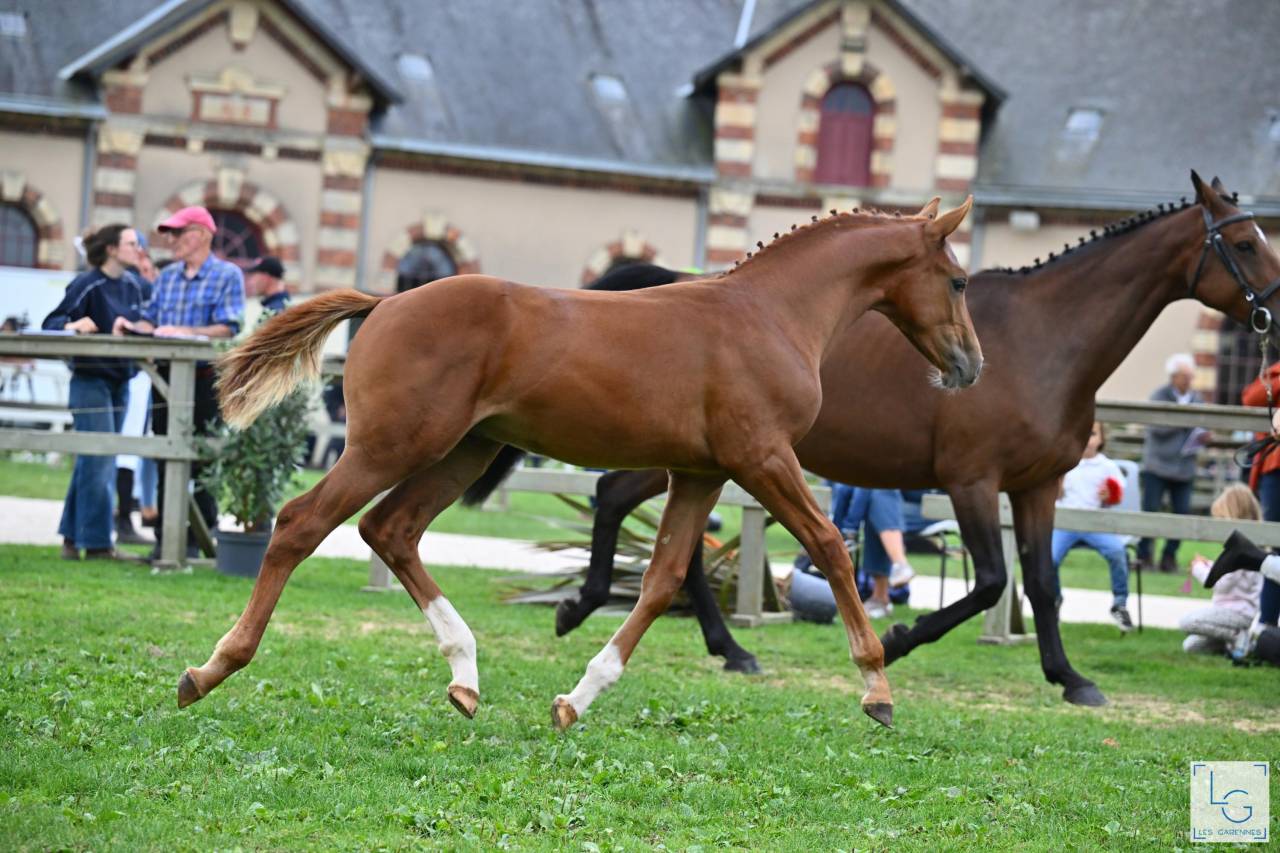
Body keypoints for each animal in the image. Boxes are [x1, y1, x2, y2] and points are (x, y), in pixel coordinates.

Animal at [175, 197, 982, 730]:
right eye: (959, 280)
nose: (970, 365)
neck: (770, 314)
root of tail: (383, 303)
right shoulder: (762, 457)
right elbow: (829, 547)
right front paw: (877, 689)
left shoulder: (702, 472)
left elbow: (661, 581)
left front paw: (574, 698)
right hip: (393, 445)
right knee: (299, 522)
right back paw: (208, 670)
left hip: (465, 449)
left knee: (391, 530)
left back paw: (466, 676)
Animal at [464, 171, 1280, 706]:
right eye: (1245, 240)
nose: (1274, 310)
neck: (1047, 339)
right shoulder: (972, 480)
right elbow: (990, 580)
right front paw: (903, 640)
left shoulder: (1037, 484)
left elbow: (1042, 585)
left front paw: (1071, 679)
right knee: (621, 504)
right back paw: (651, 625)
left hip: (695, 459)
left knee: (645, 521)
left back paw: (696, 638)